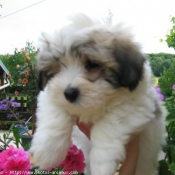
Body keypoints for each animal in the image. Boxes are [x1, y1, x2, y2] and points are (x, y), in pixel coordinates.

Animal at [30, 13, 166, 175]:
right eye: (57, 70)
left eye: (92, 64)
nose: (69, 93)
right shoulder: (50, 93)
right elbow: (55, 113)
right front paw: (47, 151)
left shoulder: (137, 105)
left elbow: (109, 125)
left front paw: (102, 163)